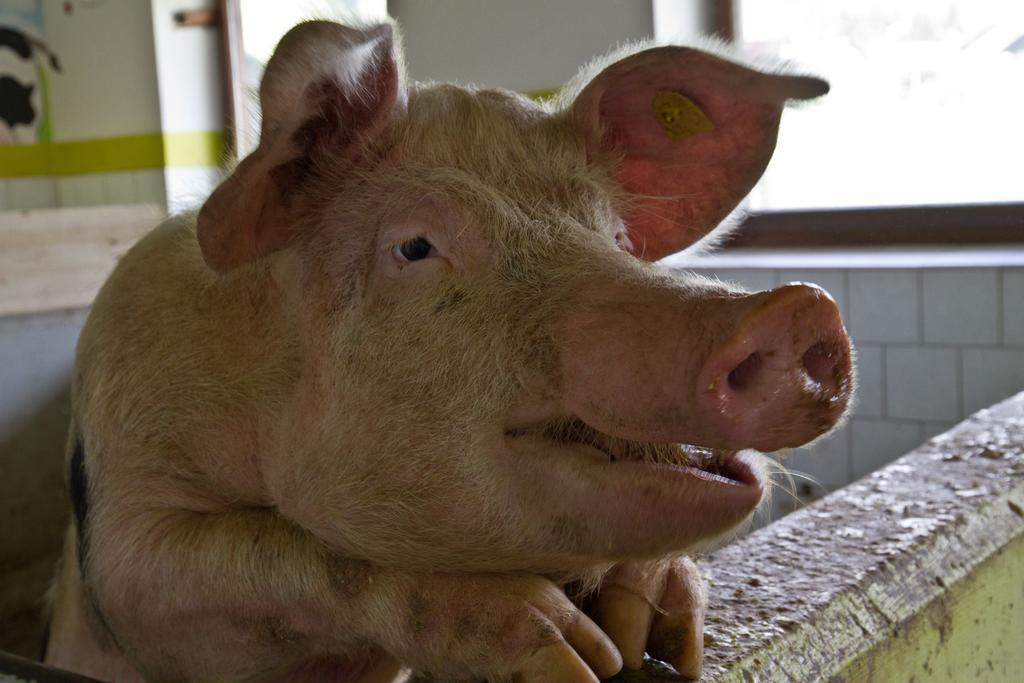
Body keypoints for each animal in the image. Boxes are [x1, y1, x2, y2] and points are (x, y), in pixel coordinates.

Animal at [44, 18, 851, 679]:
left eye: (619, 239)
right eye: (415, 247)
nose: (800, 308)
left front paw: (645, 636)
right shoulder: (125, 541)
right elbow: (271, 565)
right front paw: (578, 656)